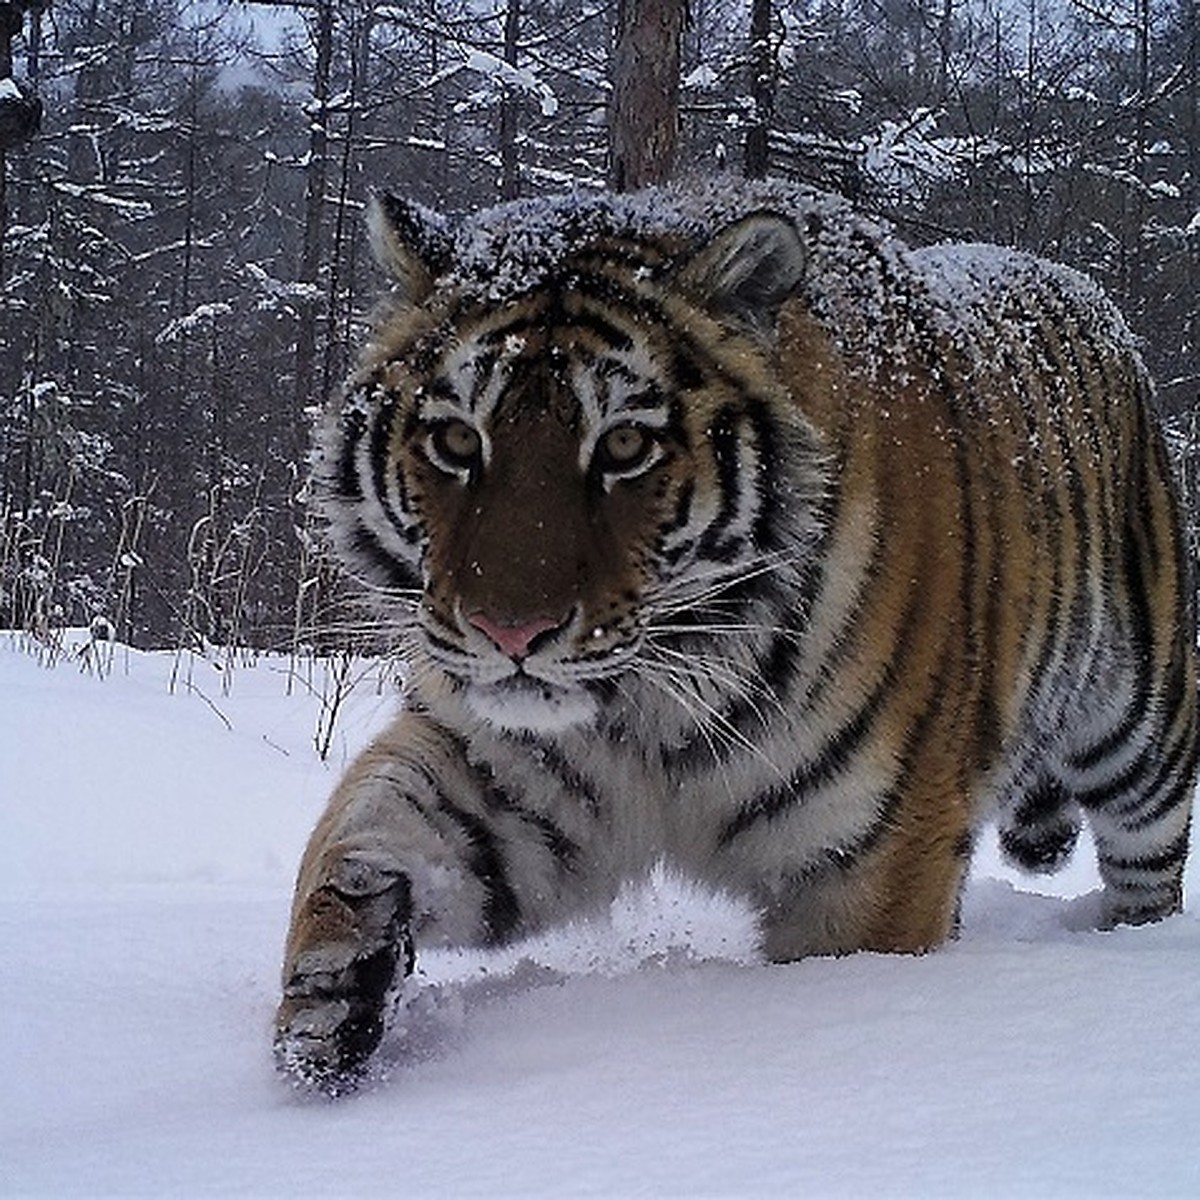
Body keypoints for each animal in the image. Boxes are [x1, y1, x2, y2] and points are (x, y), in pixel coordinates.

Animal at [274, 180, 1200, 1099]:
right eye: (457, 439)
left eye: (625, 444)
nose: (511, 631)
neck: (650, 704)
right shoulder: (509, 776)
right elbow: (354, 829)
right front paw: (329, 1000)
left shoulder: (873, 858)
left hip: (1143, 729)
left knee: (1149, 861)